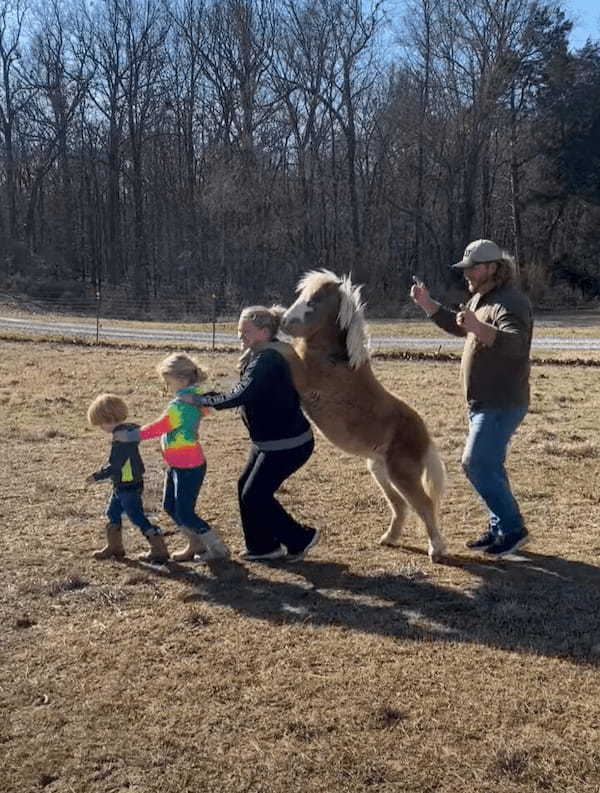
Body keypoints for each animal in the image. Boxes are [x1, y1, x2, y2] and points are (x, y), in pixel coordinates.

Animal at [276, 270, 446, 560]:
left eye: (315, 301)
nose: (285, 322)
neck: (335, 359)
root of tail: (425, 436)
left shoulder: (305, 380)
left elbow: (284, 350)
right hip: (380, 470)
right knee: (400, 505)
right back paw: (389, 539)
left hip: (402, 474)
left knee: (423, 503)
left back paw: (436, 549)